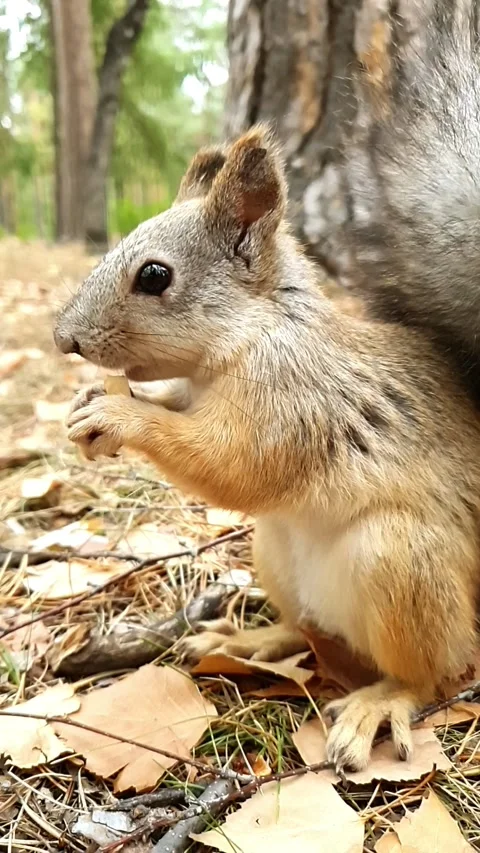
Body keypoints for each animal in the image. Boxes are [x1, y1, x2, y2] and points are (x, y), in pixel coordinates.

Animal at [54, 126, 480, 773]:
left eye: (154, 276)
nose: (64, 340)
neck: (250, 332)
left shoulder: (289, 401)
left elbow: (232, 465)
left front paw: (120, 415)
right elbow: (177, 407)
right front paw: (90, 403)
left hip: (400, 560)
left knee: (435, 673)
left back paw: (379, 703)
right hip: (273, 552)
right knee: (305, 629)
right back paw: (246, 639)